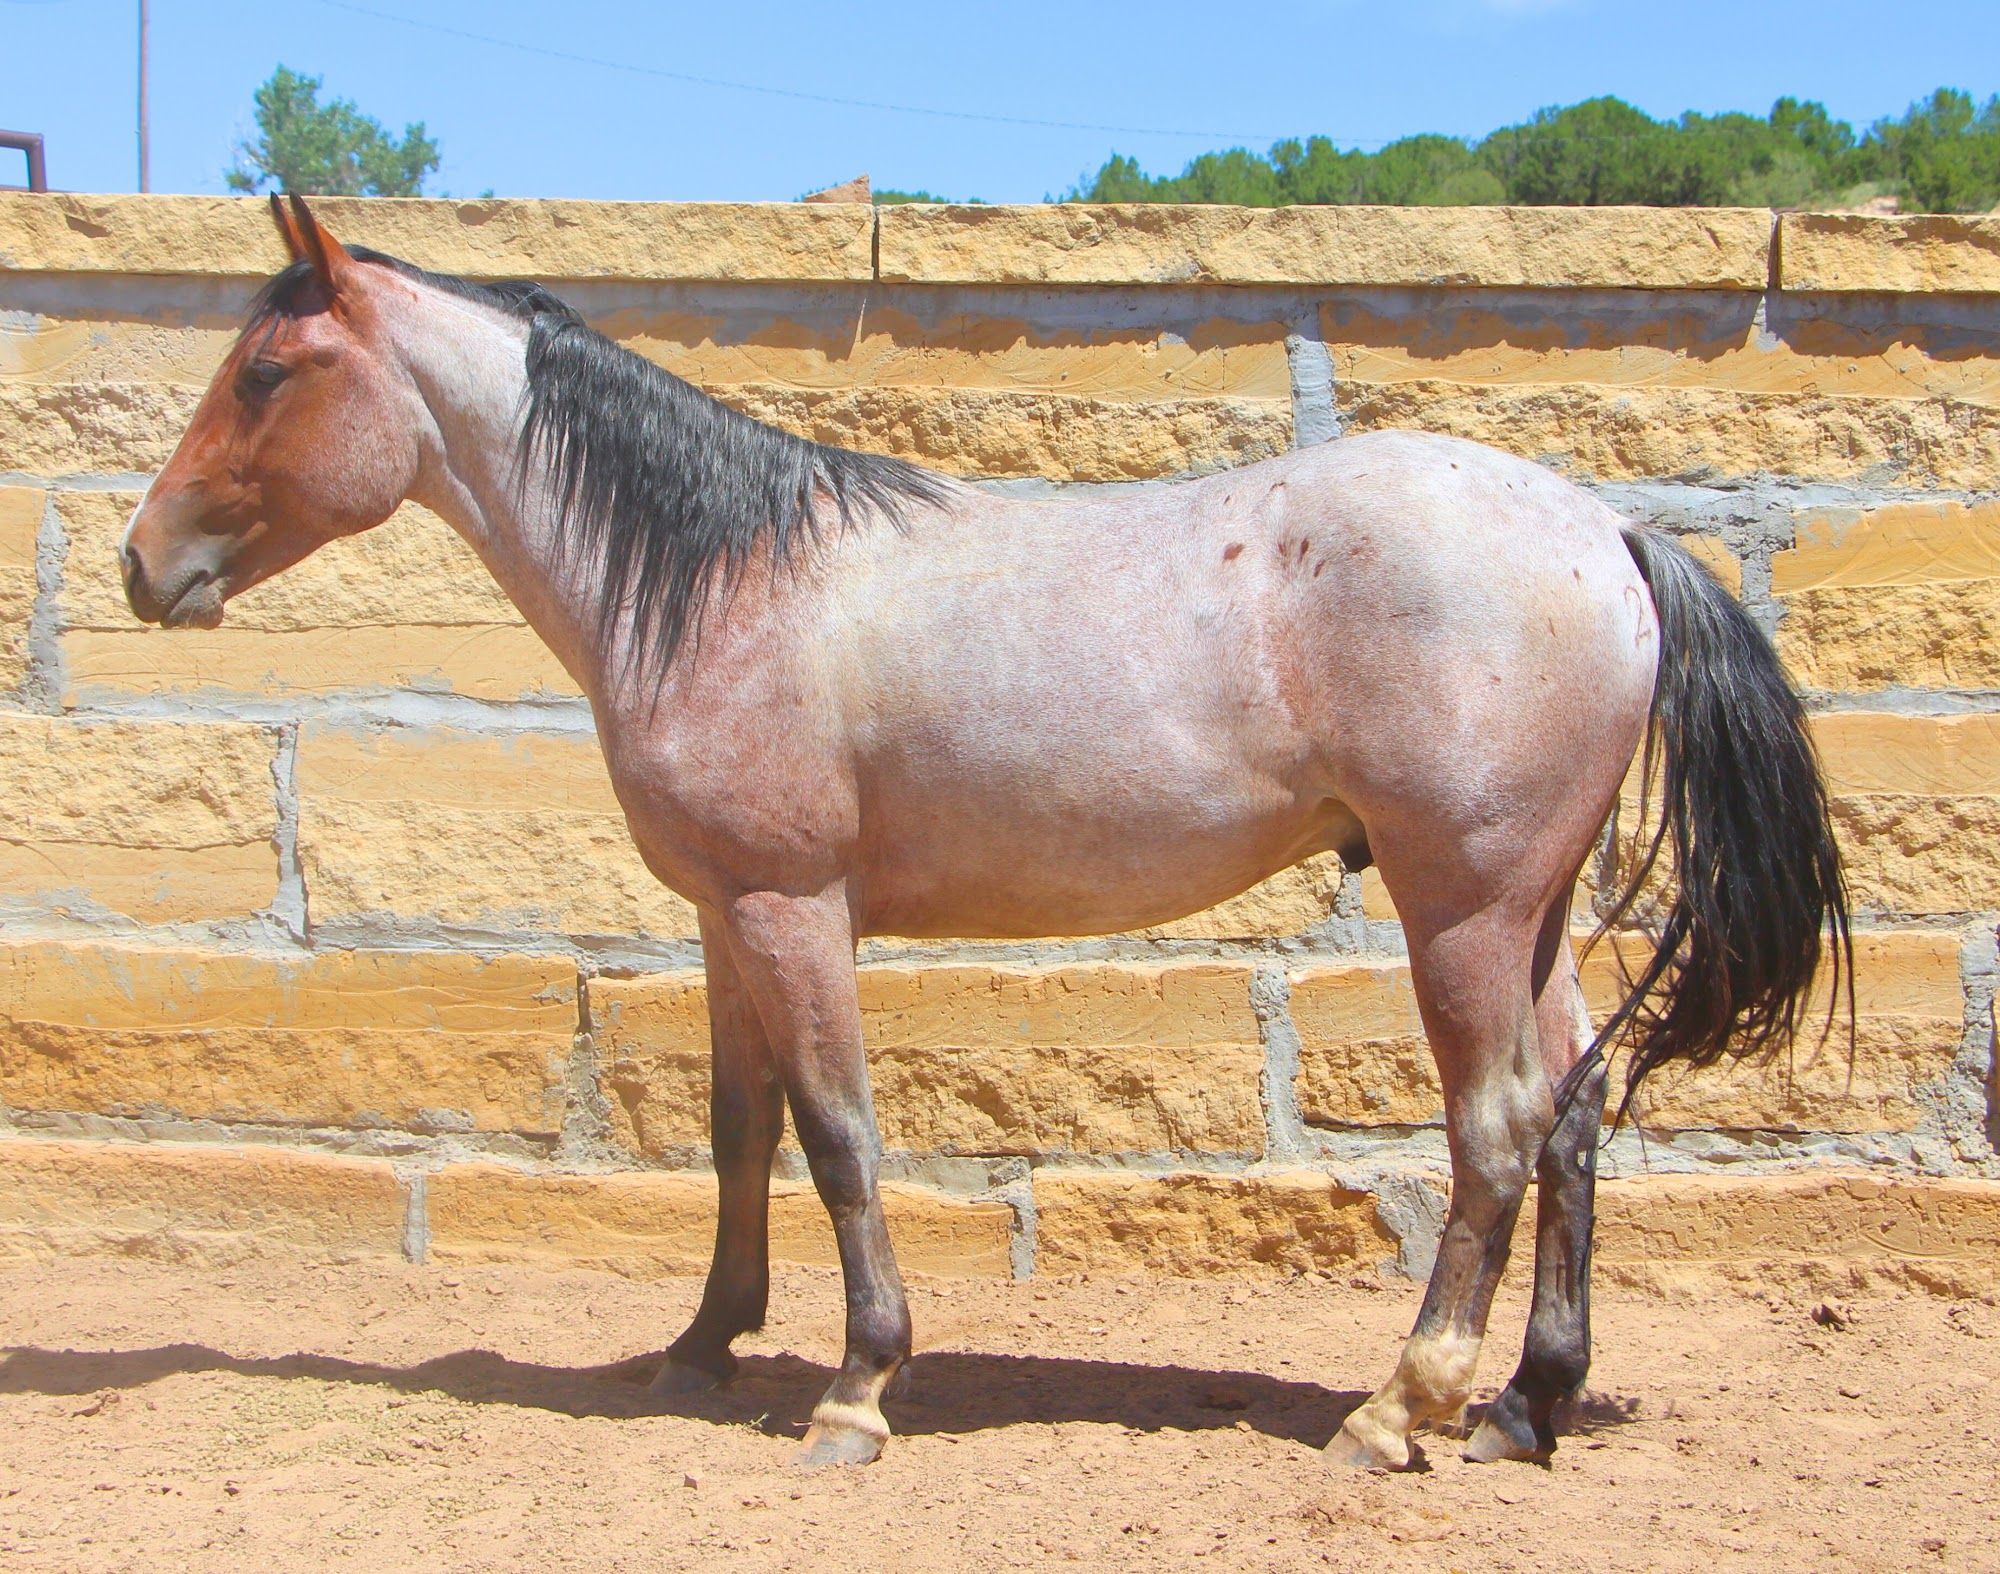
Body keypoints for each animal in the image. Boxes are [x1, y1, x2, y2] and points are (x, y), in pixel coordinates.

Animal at [120, 196, 1848, 1472]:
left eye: (266, 373)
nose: (145, 563)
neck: (727, 584)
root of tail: (1606, 532)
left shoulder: (794, 906)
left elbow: (837, 1133)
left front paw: (856, 1387)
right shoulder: (724, 912)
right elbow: (740, 1129)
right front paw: (702, 1343)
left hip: (1463, 909)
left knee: (1496, 1129)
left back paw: (1396, 1408)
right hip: (1526, 913)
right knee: (1575, 1110)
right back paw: (1525, 1404)